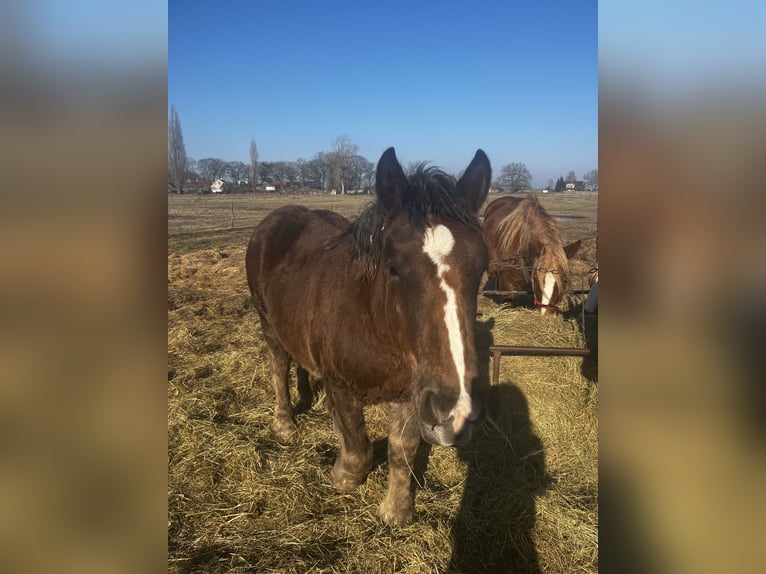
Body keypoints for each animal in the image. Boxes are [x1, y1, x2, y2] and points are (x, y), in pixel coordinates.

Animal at [249, 147, 496, 528]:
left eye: (481, 268)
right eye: (393, 266)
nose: (455, 409)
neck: (375, 327)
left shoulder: (414, 392)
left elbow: (402, 450)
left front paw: (396, 510)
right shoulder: (341, 386)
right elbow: (359, 448)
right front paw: (343, 476)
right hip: (267, 322)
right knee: (279, 366)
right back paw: (285, 422)